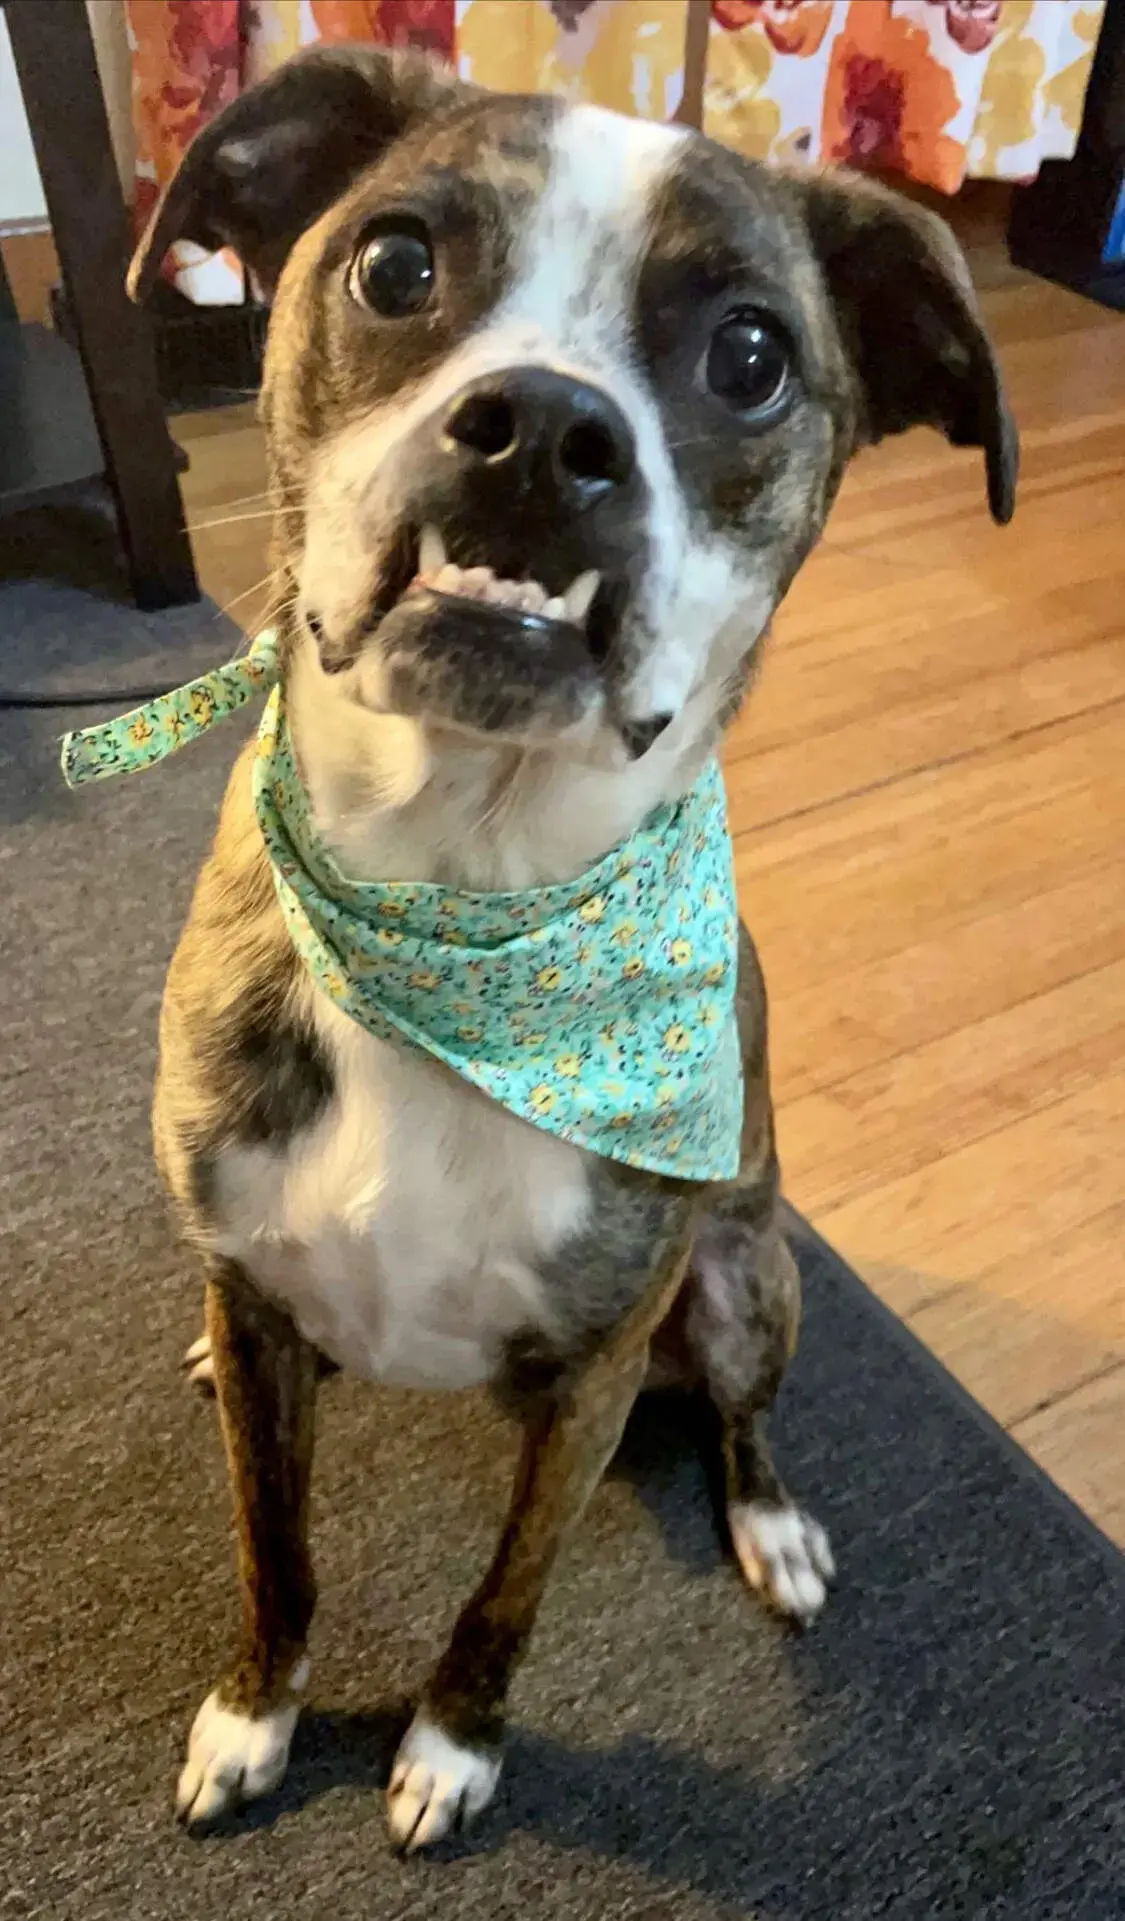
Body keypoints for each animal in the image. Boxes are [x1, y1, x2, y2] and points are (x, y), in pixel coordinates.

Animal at [125, 45, 1016, 1851]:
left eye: (750, 354)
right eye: (396, 264)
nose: (544, 430)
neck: (463, 912)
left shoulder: (600, 1370)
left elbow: (505, 1596)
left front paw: (453, 1747)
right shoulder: (263, 1336)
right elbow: (276, 1554)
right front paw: (255, 1717)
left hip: (747, 1282)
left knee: (743, 1420)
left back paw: (775, 1527)